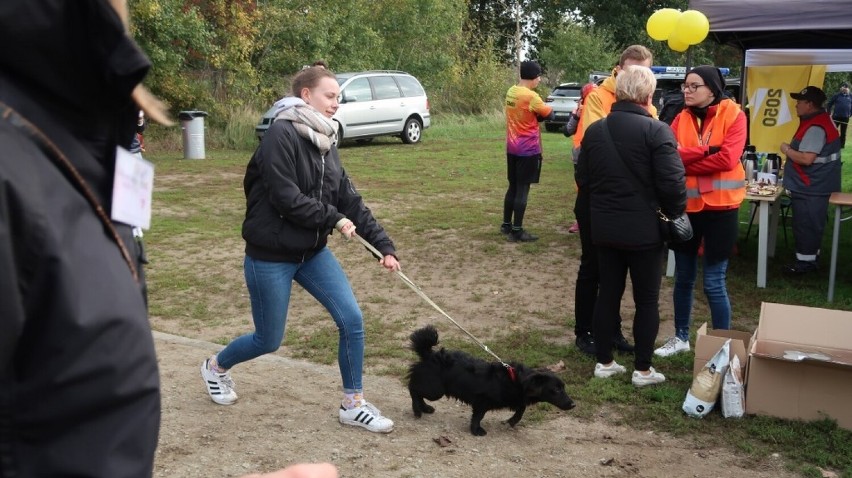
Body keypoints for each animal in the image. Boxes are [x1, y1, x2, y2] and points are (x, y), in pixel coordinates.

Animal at [408, 326, 580, 436]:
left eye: (564, 388)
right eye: (556, 390)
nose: (573, 404)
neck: (516, 381)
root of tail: (430, 354)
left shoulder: (517, 398)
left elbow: (521, 408)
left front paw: (512, 421)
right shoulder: (481, 401)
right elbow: (478, 417)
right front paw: (476, 431)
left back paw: (424, 408)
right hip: (435, 390)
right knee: (413, 388)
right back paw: (417, 410)